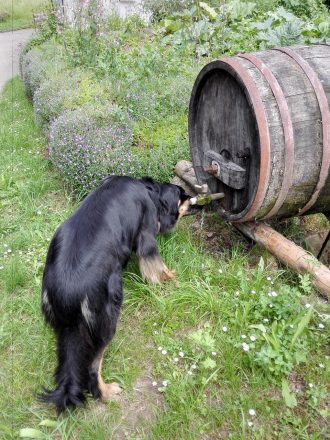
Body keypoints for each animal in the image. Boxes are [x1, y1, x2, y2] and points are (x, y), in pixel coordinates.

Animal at [39, 175, 191, 412]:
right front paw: (170, 278)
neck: (150, 190)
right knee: (93, 366)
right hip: (106, 319)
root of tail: (67, 293)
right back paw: (106, 392)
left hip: (65, 329)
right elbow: (156, 264)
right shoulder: (146, 235)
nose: (194, 201)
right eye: (183, 196)